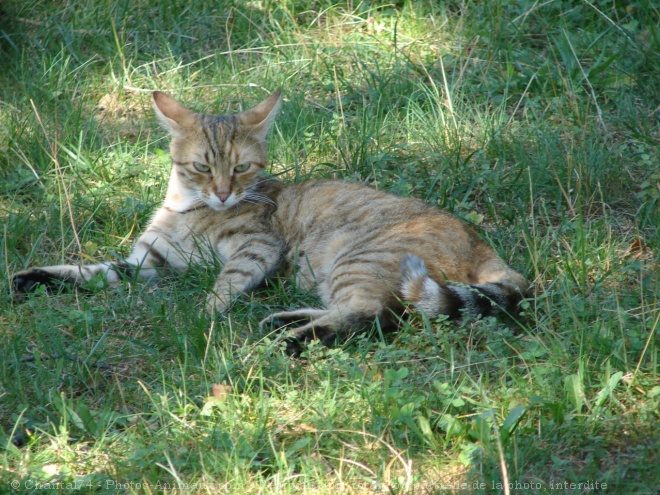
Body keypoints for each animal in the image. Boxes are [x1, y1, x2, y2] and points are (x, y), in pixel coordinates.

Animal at [12, 89, 528, 344]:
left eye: (242, 168)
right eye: (202, 167)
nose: (223, 194)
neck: (186, 207)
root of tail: (482, 244)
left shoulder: (258, 246)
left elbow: (224, 283)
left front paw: (204, 316)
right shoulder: (147, 265)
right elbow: (91, 271)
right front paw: (36, 278)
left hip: (359, 260)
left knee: (376, 315)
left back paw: (293, 339)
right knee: (373, 311)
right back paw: (282, 321)